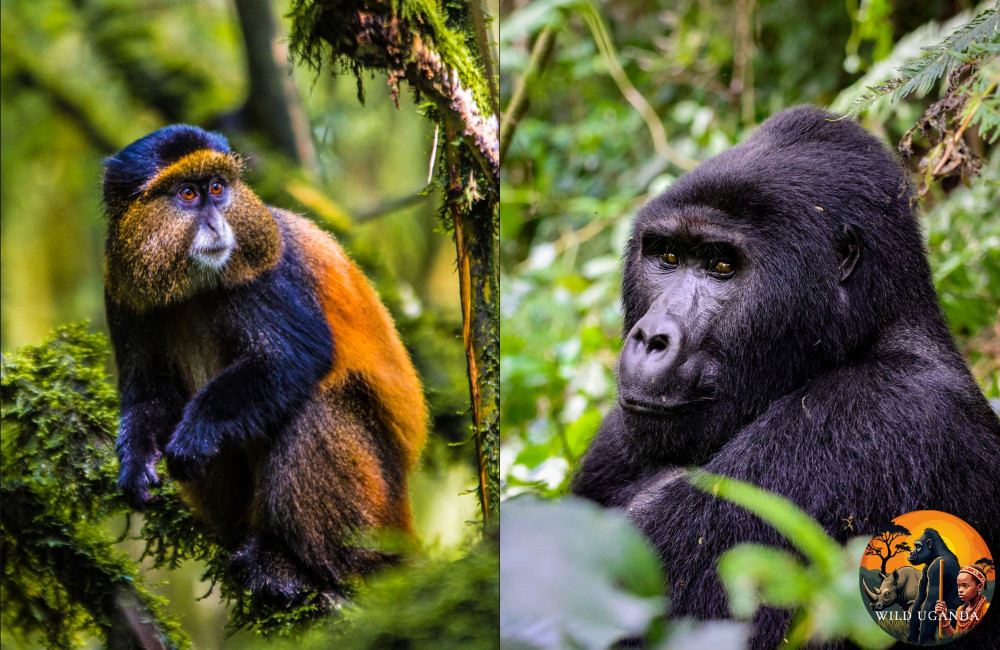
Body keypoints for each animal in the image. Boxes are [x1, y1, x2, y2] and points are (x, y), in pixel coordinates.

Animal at [102, 124, 428, 601]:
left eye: (217, 189)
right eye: (187, 193)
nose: (217, 223)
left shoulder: (264, 273)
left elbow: (293, 357)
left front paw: (197, 432)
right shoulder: (123, 294)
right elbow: (149, 393)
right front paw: (136, 460)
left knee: (316, 408)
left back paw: (300, 566)